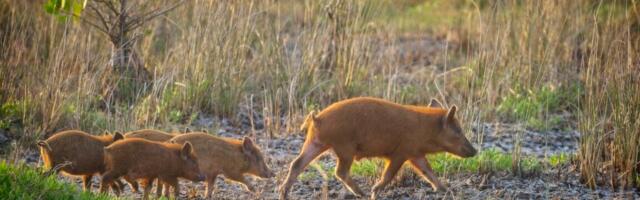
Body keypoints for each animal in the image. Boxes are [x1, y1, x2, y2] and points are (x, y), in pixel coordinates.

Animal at [278, 96, 478, 198]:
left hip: (315, 143)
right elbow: (389, 174)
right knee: (339, 171)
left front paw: (446, 190)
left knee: (297, 163)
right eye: (458, 131)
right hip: (345, 148)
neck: (425, 129)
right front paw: (375, 191)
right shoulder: (402, 152)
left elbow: (428, 171)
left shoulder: (415, 153)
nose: (475, 151)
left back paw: (283, 193)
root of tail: (317, 118)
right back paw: (363, 193)